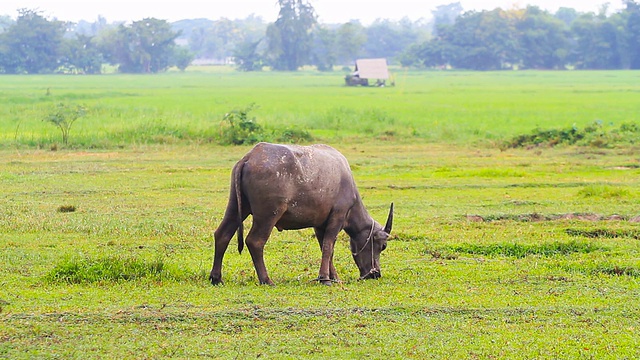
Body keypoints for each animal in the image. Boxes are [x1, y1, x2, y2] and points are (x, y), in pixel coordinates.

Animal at [210, 142, 392, 286]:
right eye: (382, 246)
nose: (376, 274)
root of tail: (249, 157)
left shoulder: (320, 225)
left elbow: (326, 248)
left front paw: (333, 276)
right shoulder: (337, 217)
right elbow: (328, 247)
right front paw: (325, 278)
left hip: (236, 207)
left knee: (222, 234)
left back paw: (216, 278)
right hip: (268, 215)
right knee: (255, 241)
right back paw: (266, 279)